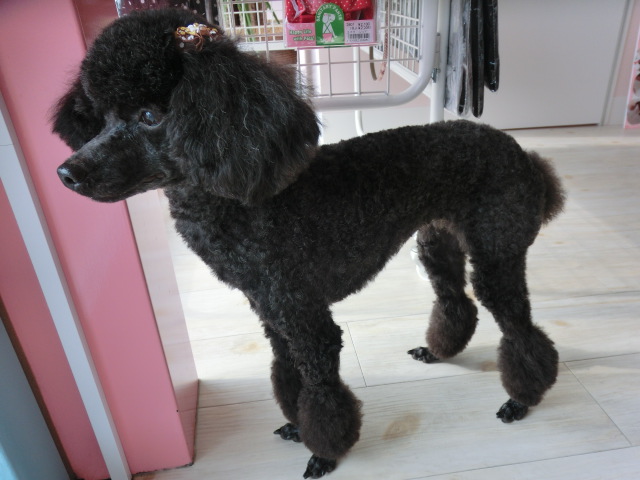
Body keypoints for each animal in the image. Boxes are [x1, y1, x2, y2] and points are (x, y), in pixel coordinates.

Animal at [52, 9, 565, 479]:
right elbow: (288, 374)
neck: (240, 203)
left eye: (150, 116)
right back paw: (438, 352)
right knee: (457, 300)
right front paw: (297, 427)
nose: (66, 172)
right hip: (438, 241)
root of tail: (524, 155)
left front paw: (324, 452)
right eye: (101, 116)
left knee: (520, 327)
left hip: (497, 248)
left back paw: (522, 398)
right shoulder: (272, 310)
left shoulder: (305, 316)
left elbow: (320, 390)